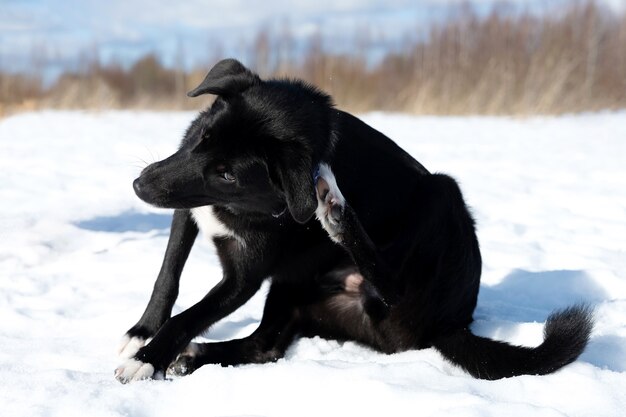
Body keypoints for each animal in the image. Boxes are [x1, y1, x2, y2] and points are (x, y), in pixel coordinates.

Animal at [116, 59, 588, 384]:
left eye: (227, 174)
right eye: (201, 137)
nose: (140, 184)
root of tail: (452, 323)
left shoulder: (244, 276)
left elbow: (191, 314)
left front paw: (146, 360)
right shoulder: (187, 210)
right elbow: (167, 276)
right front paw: (142, 334)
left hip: (442, 194)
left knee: (392, 286)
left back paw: (337, 212)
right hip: (295, 286)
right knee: (265, 346)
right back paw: (196, 355)